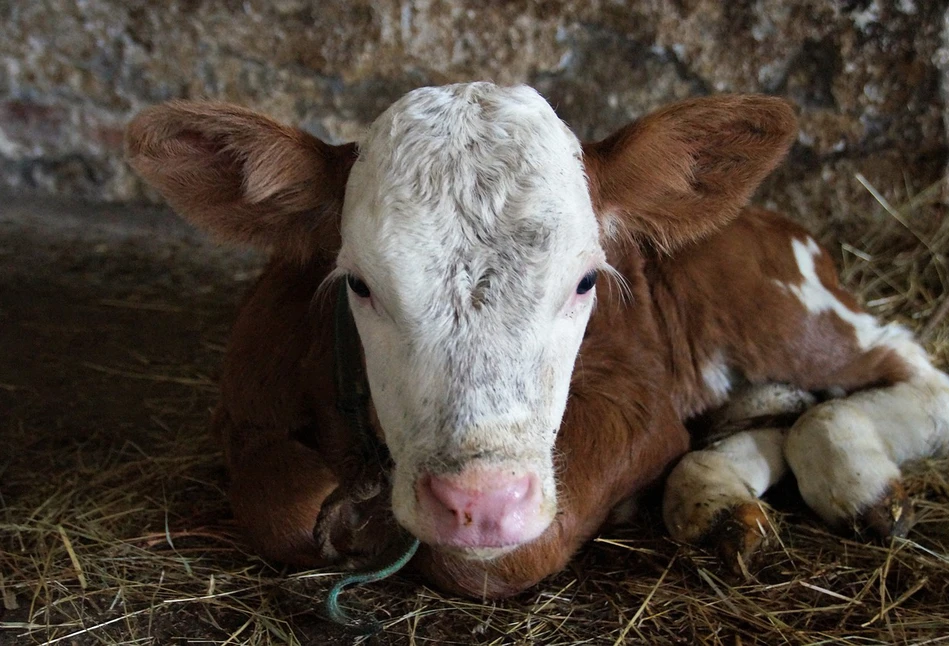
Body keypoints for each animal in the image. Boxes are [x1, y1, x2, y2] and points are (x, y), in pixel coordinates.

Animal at [128, 83, 948, 600]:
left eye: (586, 281)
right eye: (358, 283)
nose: (480, 503)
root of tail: (765, 214)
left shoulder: (644, 409)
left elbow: (499, 560)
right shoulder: (243, 401)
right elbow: (285, 503)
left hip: (772, 306)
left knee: (903, 369)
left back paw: (853, 475)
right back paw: (719, 499)